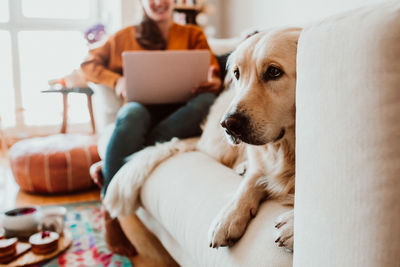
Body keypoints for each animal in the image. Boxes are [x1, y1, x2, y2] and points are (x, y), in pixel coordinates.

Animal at [103, 28, 300, 252]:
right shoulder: (260, 164)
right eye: (237, 74)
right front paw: (227, 218)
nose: (228, 124)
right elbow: (247, 186)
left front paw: (293, 226)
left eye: (274, 72)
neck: (287, 149)